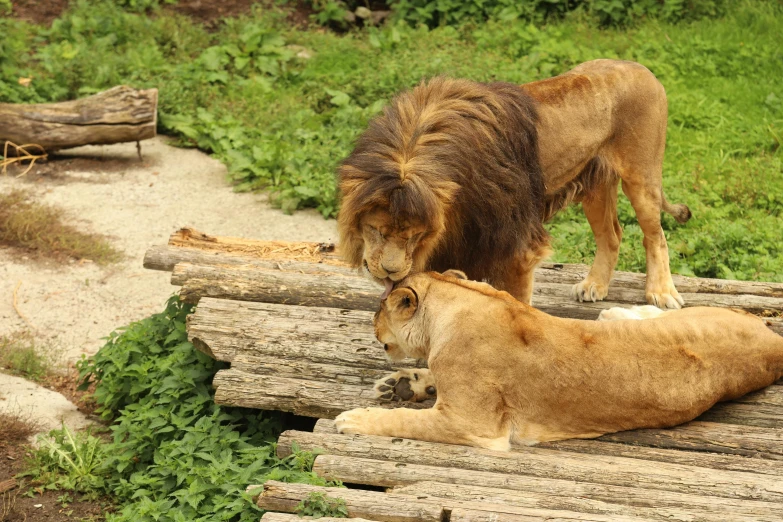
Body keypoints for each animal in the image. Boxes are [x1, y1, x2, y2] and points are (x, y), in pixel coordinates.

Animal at [334, 270, 783, 448]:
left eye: (379, 309)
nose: (373, 323)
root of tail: (773, 343)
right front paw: (403, 385)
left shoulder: (473, 425)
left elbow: (404, 422)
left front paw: (354, 419)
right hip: (696, 318)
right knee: (655, 314)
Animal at [340, 59, 688, 306]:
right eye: (376, 230)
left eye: (414, 235)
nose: (390, 272)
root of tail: (643, 69)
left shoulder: (517, 247)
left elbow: (513, 302)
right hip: (595, 186)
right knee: (611, 235)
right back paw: (594, 286)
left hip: (641, 177)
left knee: (655, 236)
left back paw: (661, 292)